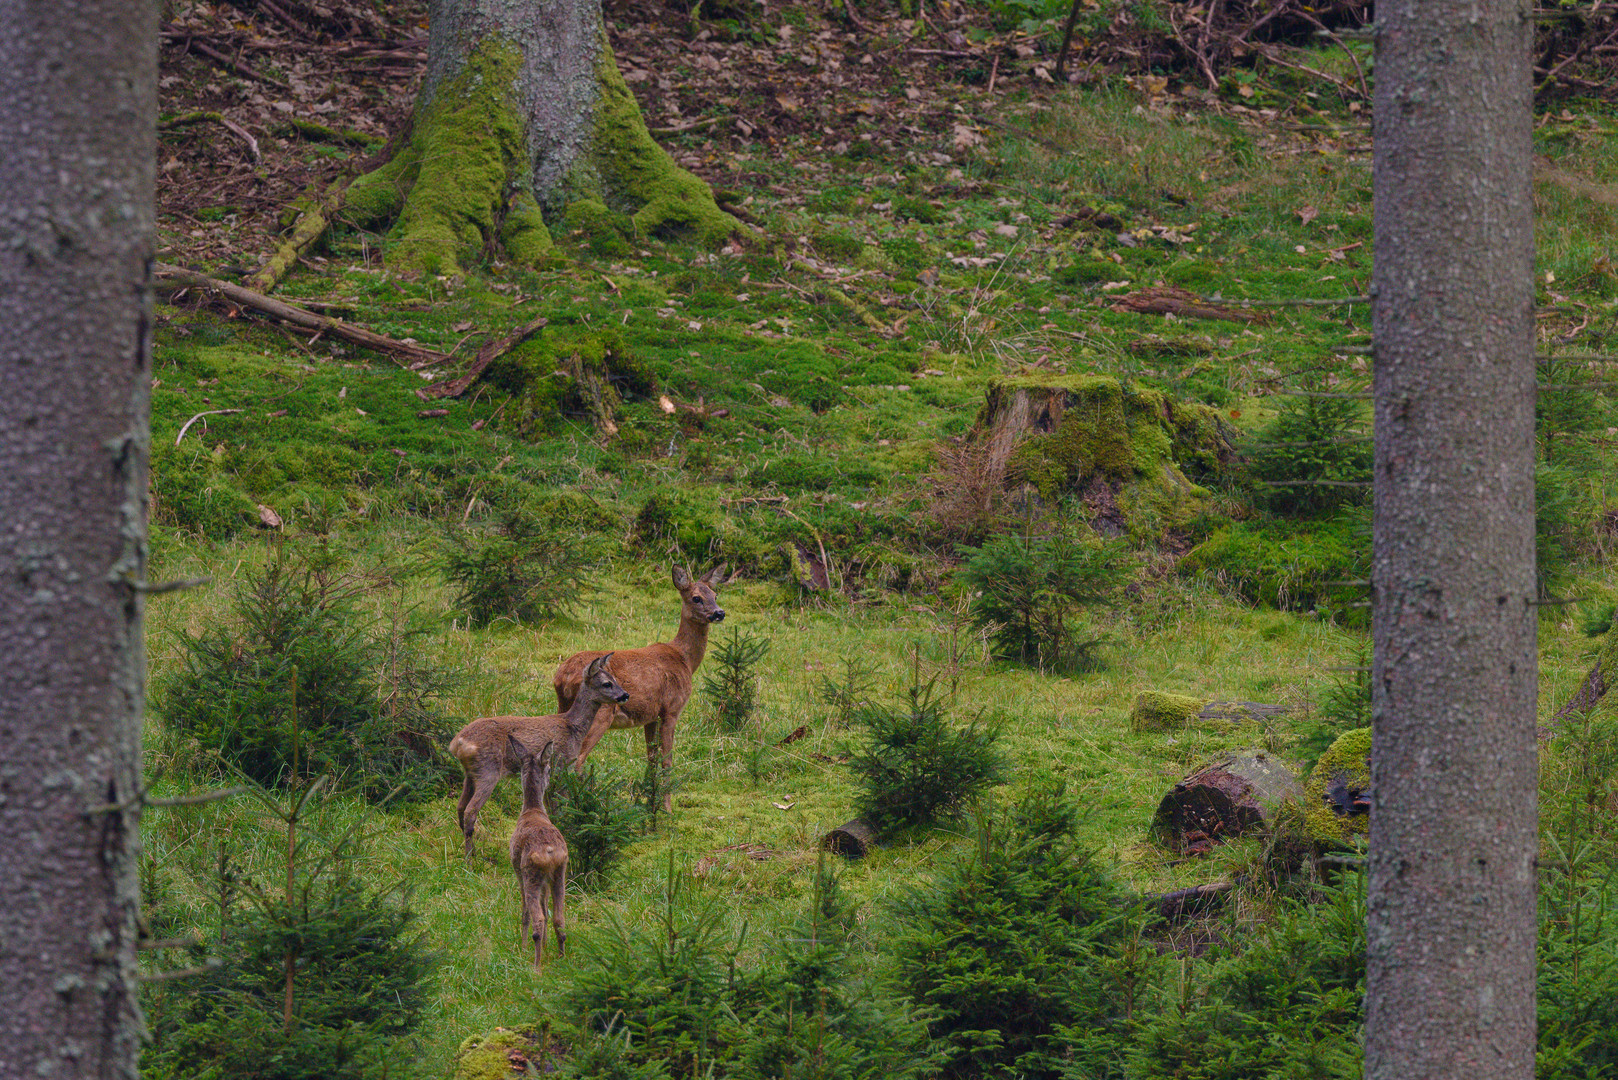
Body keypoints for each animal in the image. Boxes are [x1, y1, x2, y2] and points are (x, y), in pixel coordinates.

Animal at [456, 654, 637, 854]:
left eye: (615, 679)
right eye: (607, 683)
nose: (625, 695)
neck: (573, 727)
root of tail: (458, 742)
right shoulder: (562, 765)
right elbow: (560, 807)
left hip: (470, 773)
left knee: (460, 807)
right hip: (488, 770)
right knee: (470, 811)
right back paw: (471, 856)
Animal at [511, 735, 576, 971]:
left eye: (547, 768)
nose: (551, 777)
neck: (532, 810)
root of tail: (549, 851)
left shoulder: (516, 870)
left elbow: (525, 912)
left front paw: (521, 947)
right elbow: (546, 906)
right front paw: (547, 945)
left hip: (530, 872)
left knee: (537, 917)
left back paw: (536, 965)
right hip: (559, 872)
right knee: (558, 917)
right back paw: (560, 956)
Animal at [556, 563, 734, 806]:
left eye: (715, 595)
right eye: (696, 598)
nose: (719, 613)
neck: (684, 659)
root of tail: (562, 676)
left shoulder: (650, 715)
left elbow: (651, 758)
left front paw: (650, 801)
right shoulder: (671, 709)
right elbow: (667, 760)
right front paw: (666, 807)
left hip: (563, 707)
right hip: (599, 712)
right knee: (576, 760)